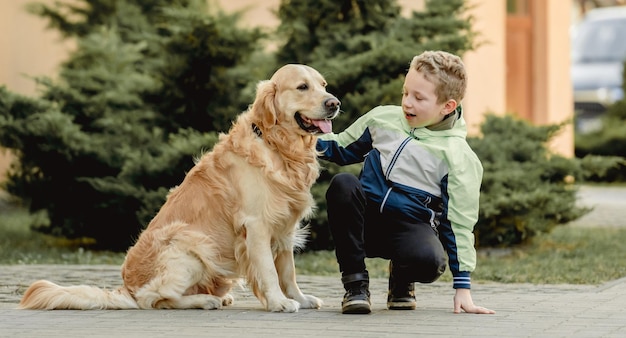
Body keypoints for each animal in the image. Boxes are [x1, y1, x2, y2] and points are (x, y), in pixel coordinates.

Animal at [19, 63, 338, 312]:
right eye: (302, 87)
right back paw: (204, 301)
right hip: (189, 246)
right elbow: (270, 271)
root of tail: (127, 288)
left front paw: (300, 298)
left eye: (323, 85)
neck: (279, 147)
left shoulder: (284, 225)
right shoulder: (257, 224)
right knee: (155, 299)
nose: (334, 103)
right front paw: (279, 302)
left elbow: (288, 272)